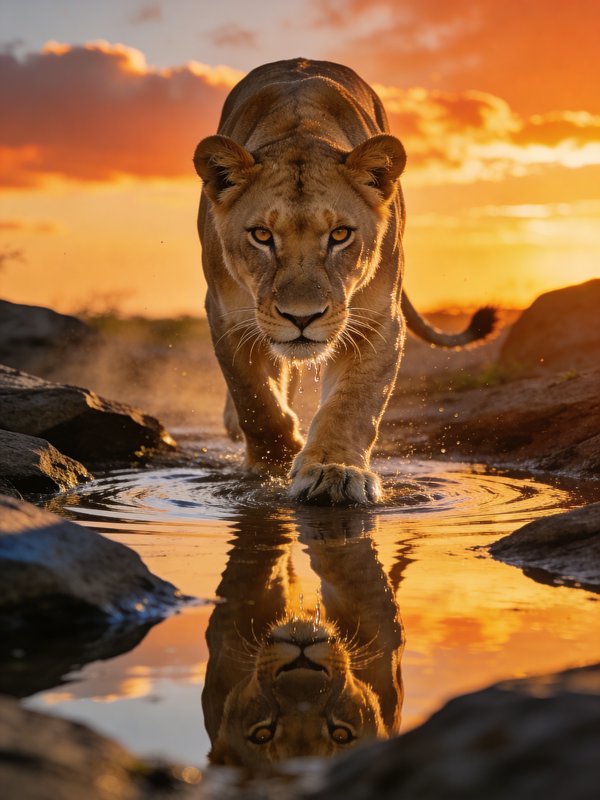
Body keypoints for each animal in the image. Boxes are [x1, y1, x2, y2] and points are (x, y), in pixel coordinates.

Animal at [194, 58, 494, 505]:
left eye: (339, 235)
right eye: (262, 235)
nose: (302, 318)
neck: (299, 130)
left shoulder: (376, 318)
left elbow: (353, 404)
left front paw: (332, 471)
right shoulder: (227, 314)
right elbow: (255, 399)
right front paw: (274, 463)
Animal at [203, 510, 405, 772]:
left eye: (341, 734)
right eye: (262, 734)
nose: (302, 662)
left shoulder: (379, 633)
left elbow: (348, 564)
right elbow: (262, 543)